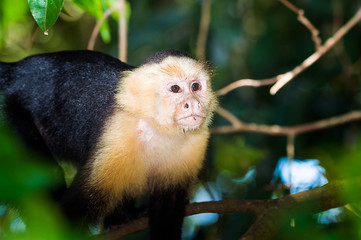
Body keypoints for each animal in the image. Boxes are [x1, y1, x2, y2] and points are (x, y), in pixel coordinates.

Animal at [0, 49, 217, 239]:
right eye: (175, 89)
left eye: (195, 87)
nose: (193, 104)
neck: (158, 128)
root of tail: (12, 72)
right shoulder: (118, 135)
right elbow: (69, 216)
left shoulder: (196, 142)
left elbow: (168, 209)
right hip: (6, 116)